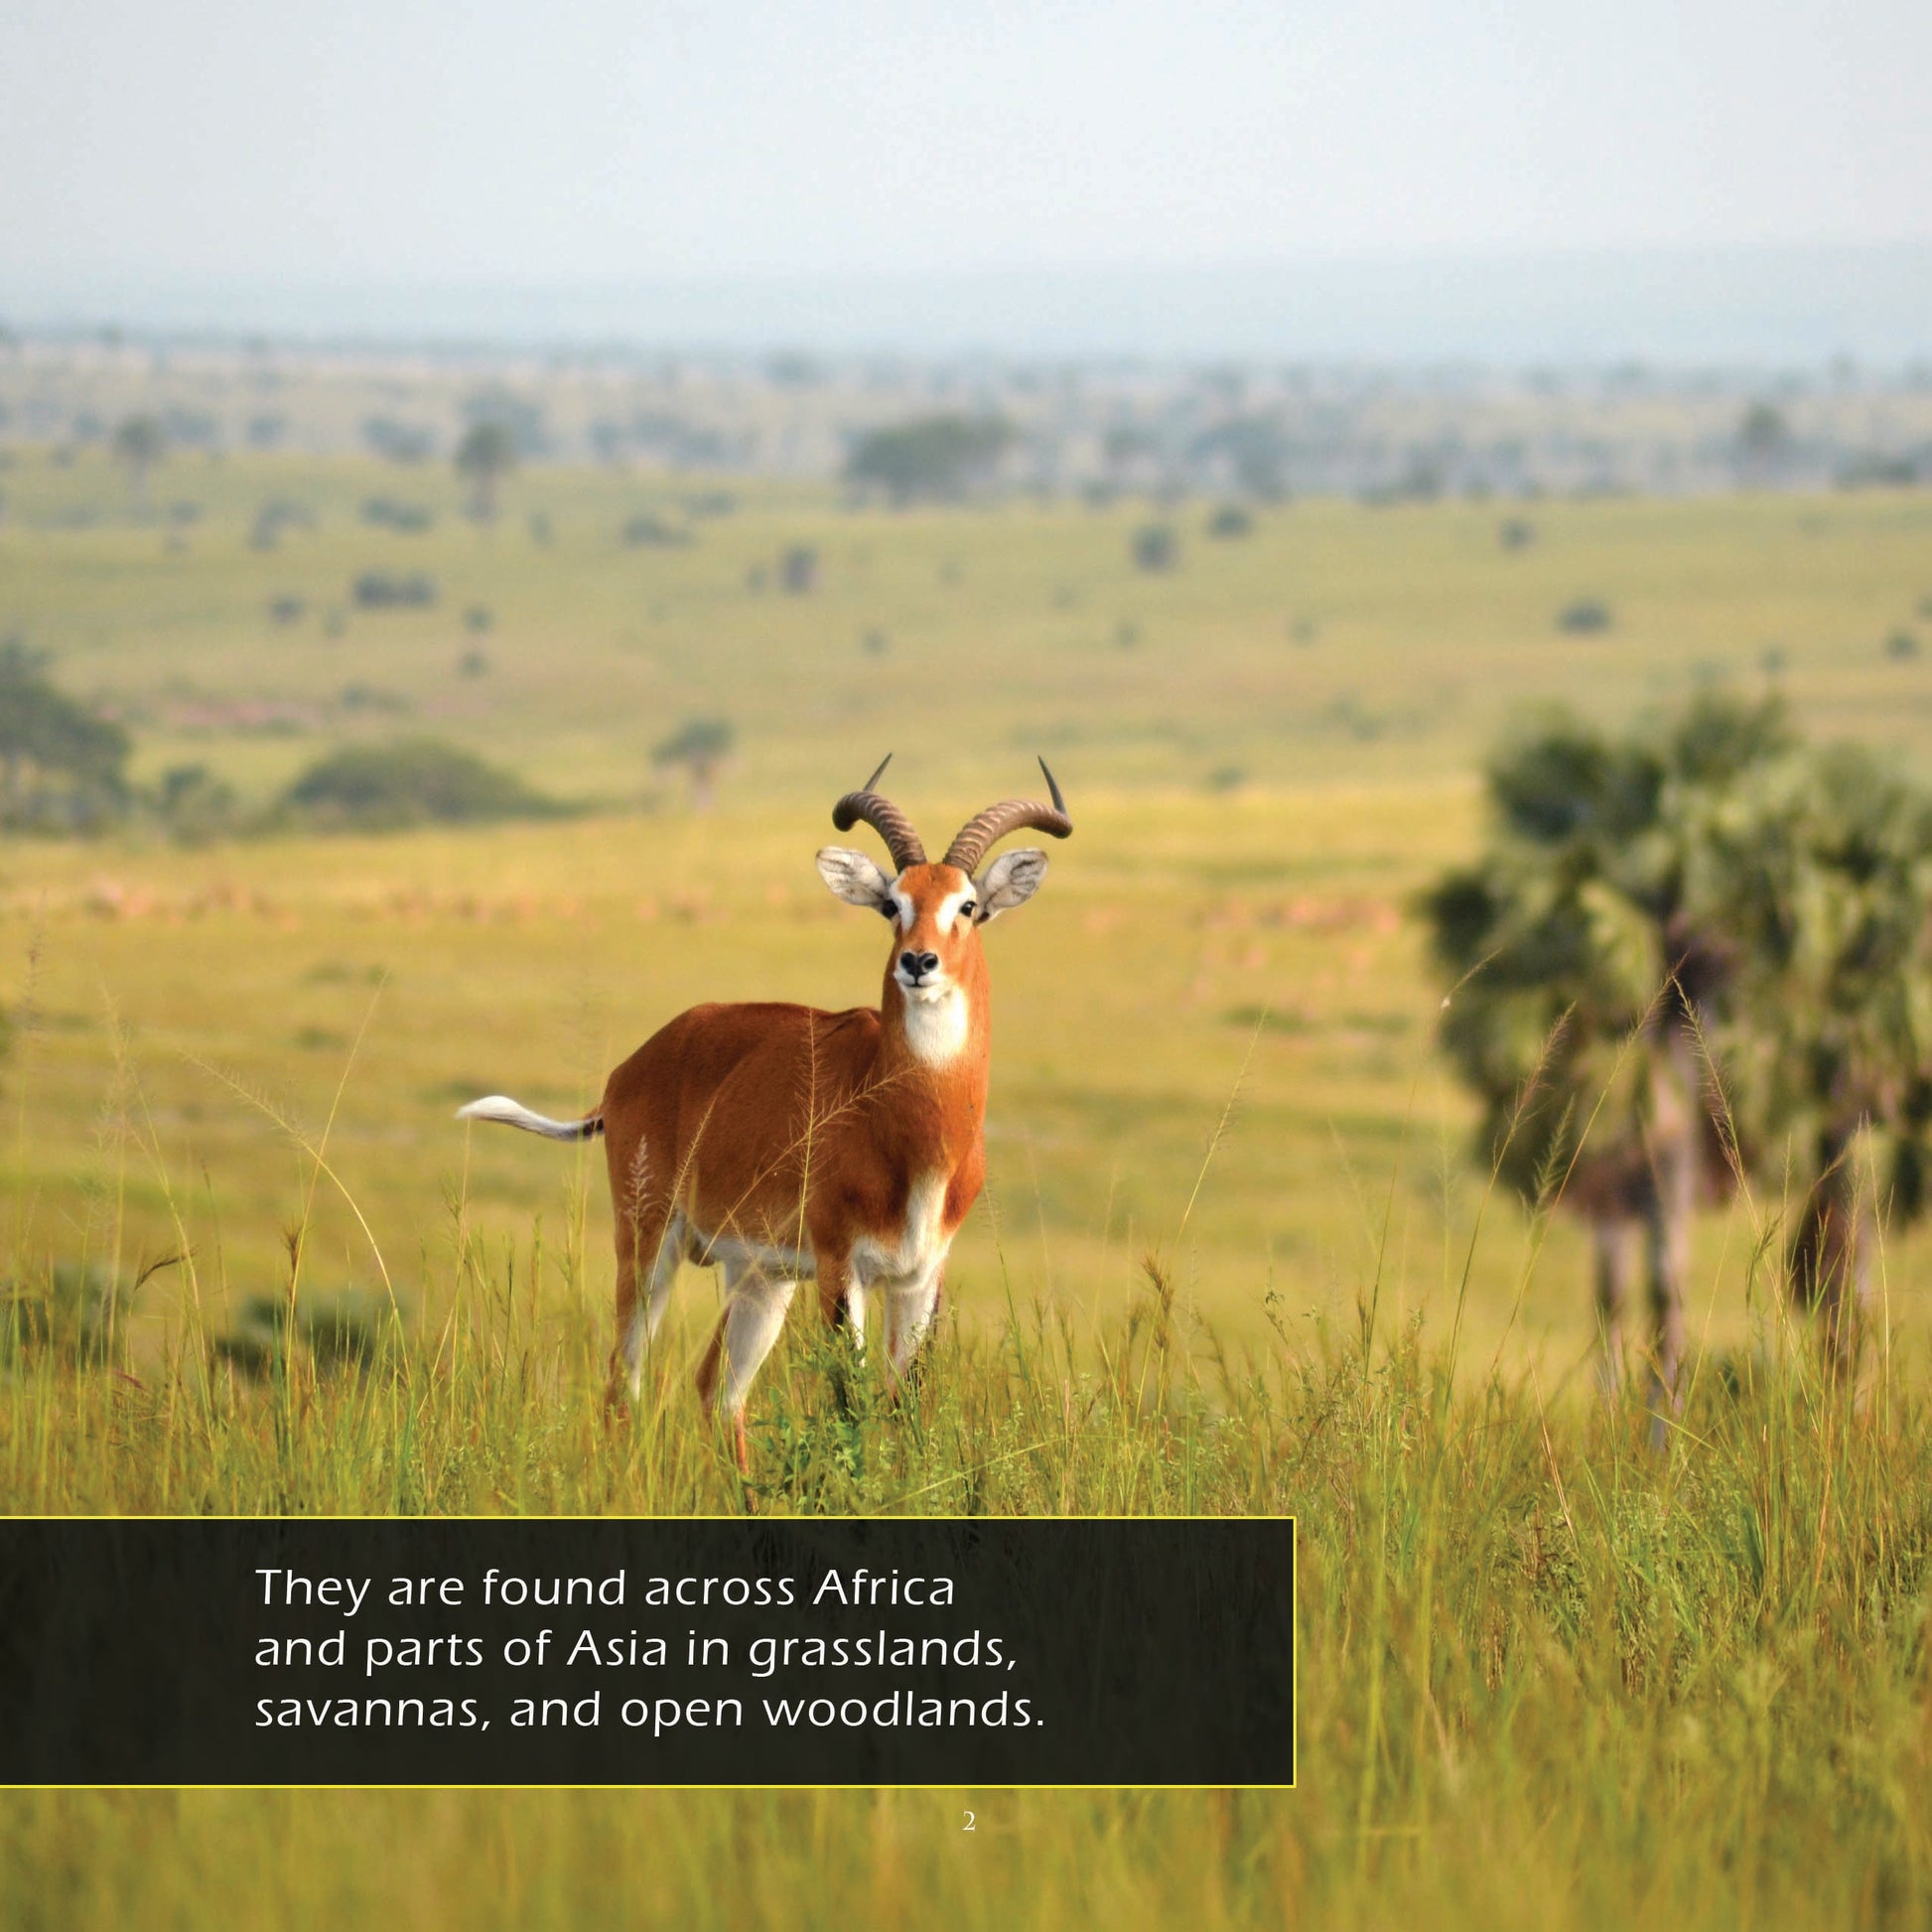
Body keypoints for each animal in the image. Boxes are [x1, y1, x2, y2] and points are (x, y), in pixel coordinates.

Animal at [456, 758, 1072, 1469]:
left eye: (968, 906)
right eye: (893, 903)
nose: (918, 962)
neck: (907, 1130)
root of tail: (628, 1070)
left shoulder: (920, 1276)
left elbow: (903, 1407)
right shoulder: (841, 1266)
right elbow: (848, 1401)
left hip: (760, 1276)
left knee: (717, 1390)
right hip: (650, 1245)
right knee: (623, 1380)